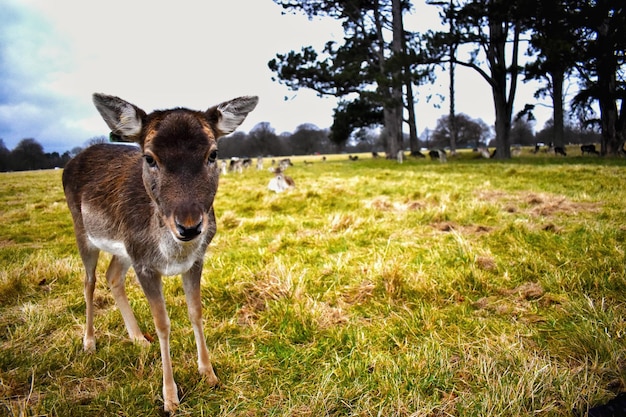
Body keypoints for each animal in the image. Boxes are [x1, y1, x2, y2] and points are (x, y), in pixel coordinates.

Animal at [62, 92, 258, 412]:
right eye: (150, 158)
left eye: (213, 154)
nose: (190, 226)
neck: (173, 253)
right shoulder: (145, 265)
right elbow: (163, 324)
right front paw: (170, 398)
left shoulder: (195, 260)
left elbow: (196, 312)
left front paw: (209, 374)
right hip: (83, 231)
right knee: (89, 281)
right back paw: (89, 342)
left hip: (124, 249)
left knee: (112, 276)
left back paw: (138, 339)